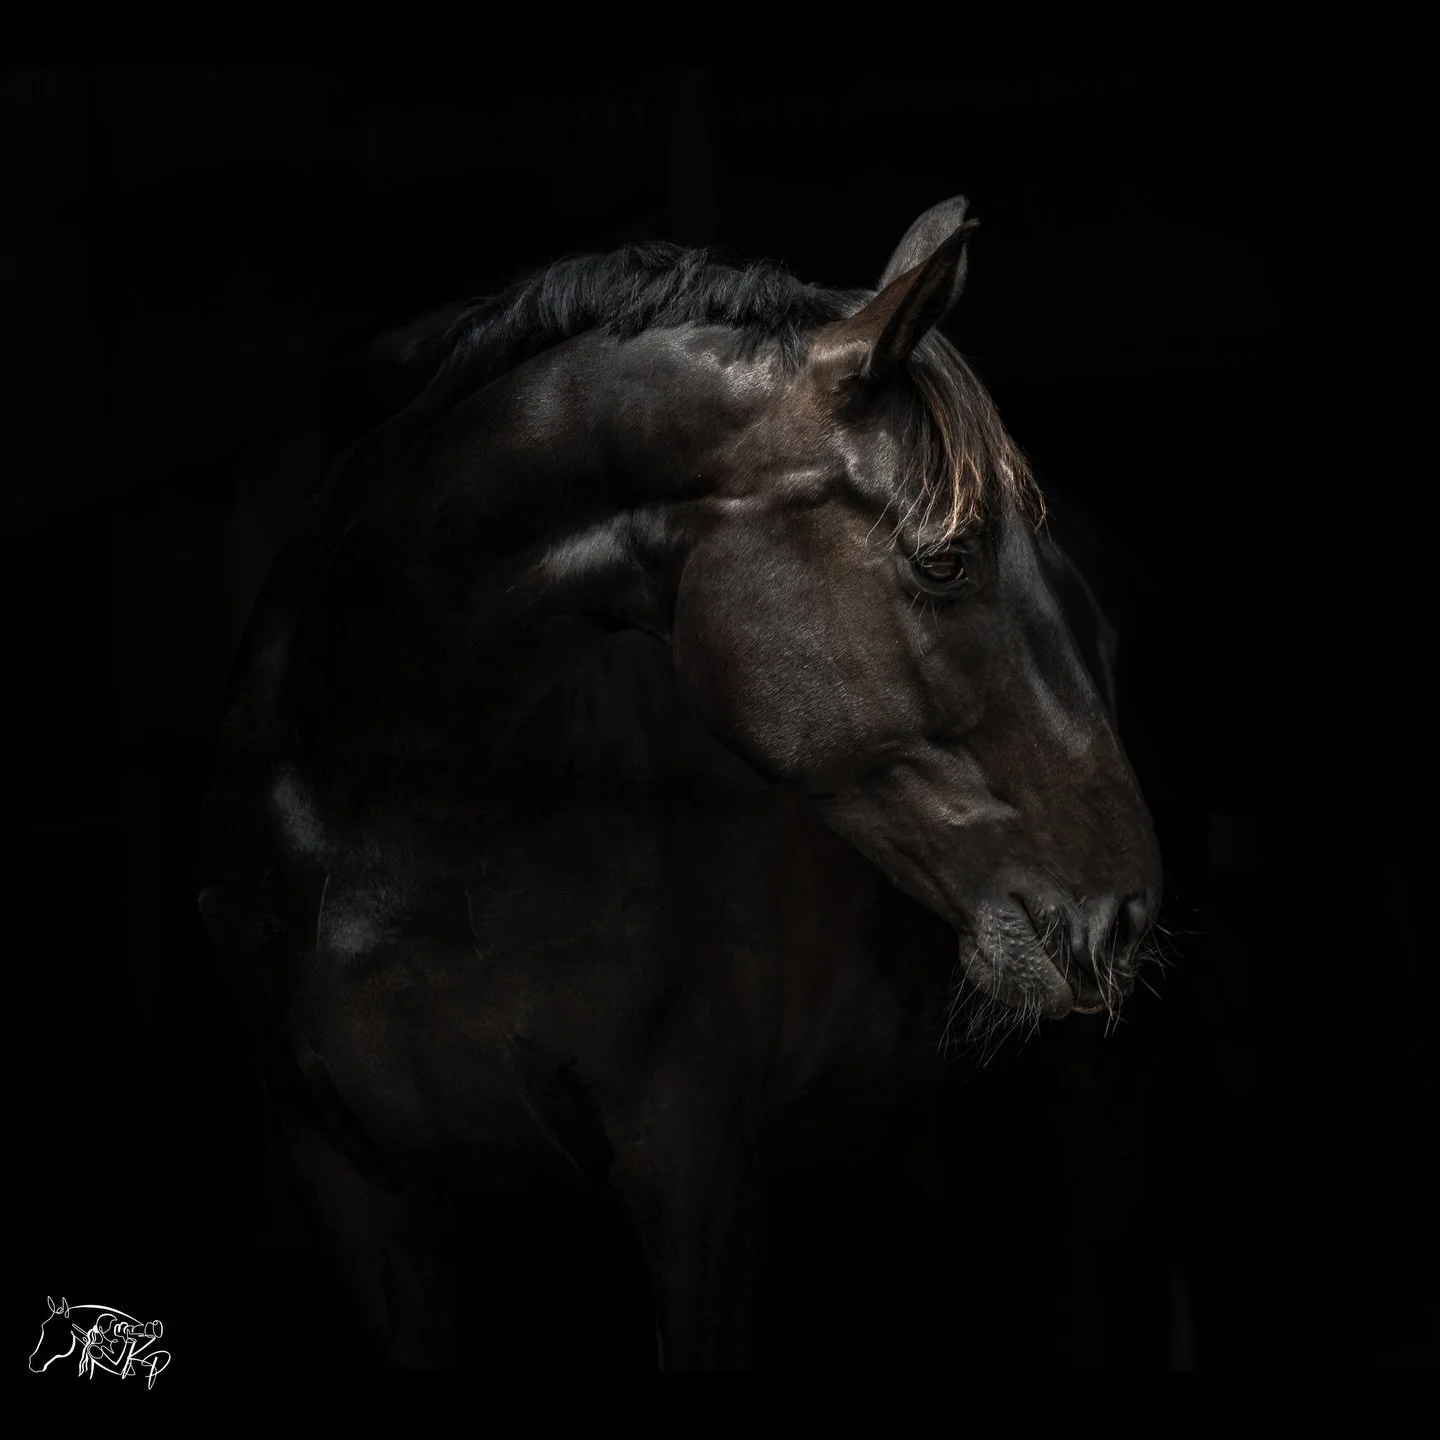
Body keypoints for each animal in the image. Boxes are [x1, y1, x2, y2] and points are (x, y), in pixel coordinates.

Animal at [197, 196, 1164, 1370]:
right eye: (944, 560)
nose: (1120, 916)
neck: (398, 820)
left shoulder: (696, 1187)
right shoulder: (360, 1200)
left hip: (1098, 1107)